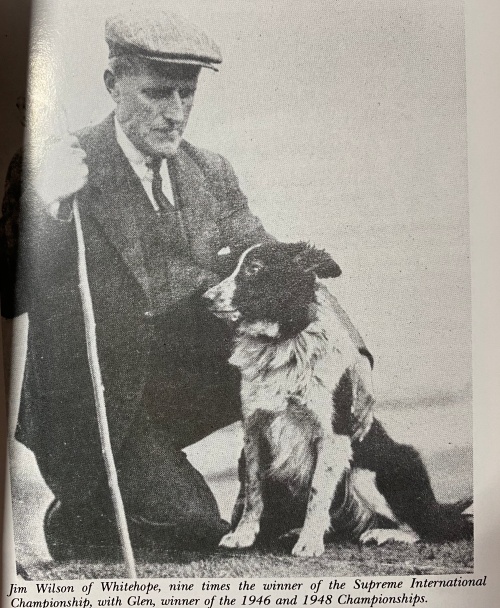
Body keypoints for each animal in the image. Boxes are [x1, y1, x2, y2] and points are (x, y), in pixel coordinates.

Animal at [204, 241, 473, 556]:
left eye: (254, 269)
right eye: (231, 267)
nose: (205, 298)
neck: (282, 342)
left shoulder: (332, 436)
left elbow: (318, 493)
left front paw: (309, 541)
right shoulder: (255, 430)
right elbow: (254, 490)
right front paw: (243, 534)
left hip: (368, 472)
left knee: (429, 527)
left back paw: (383, 533)